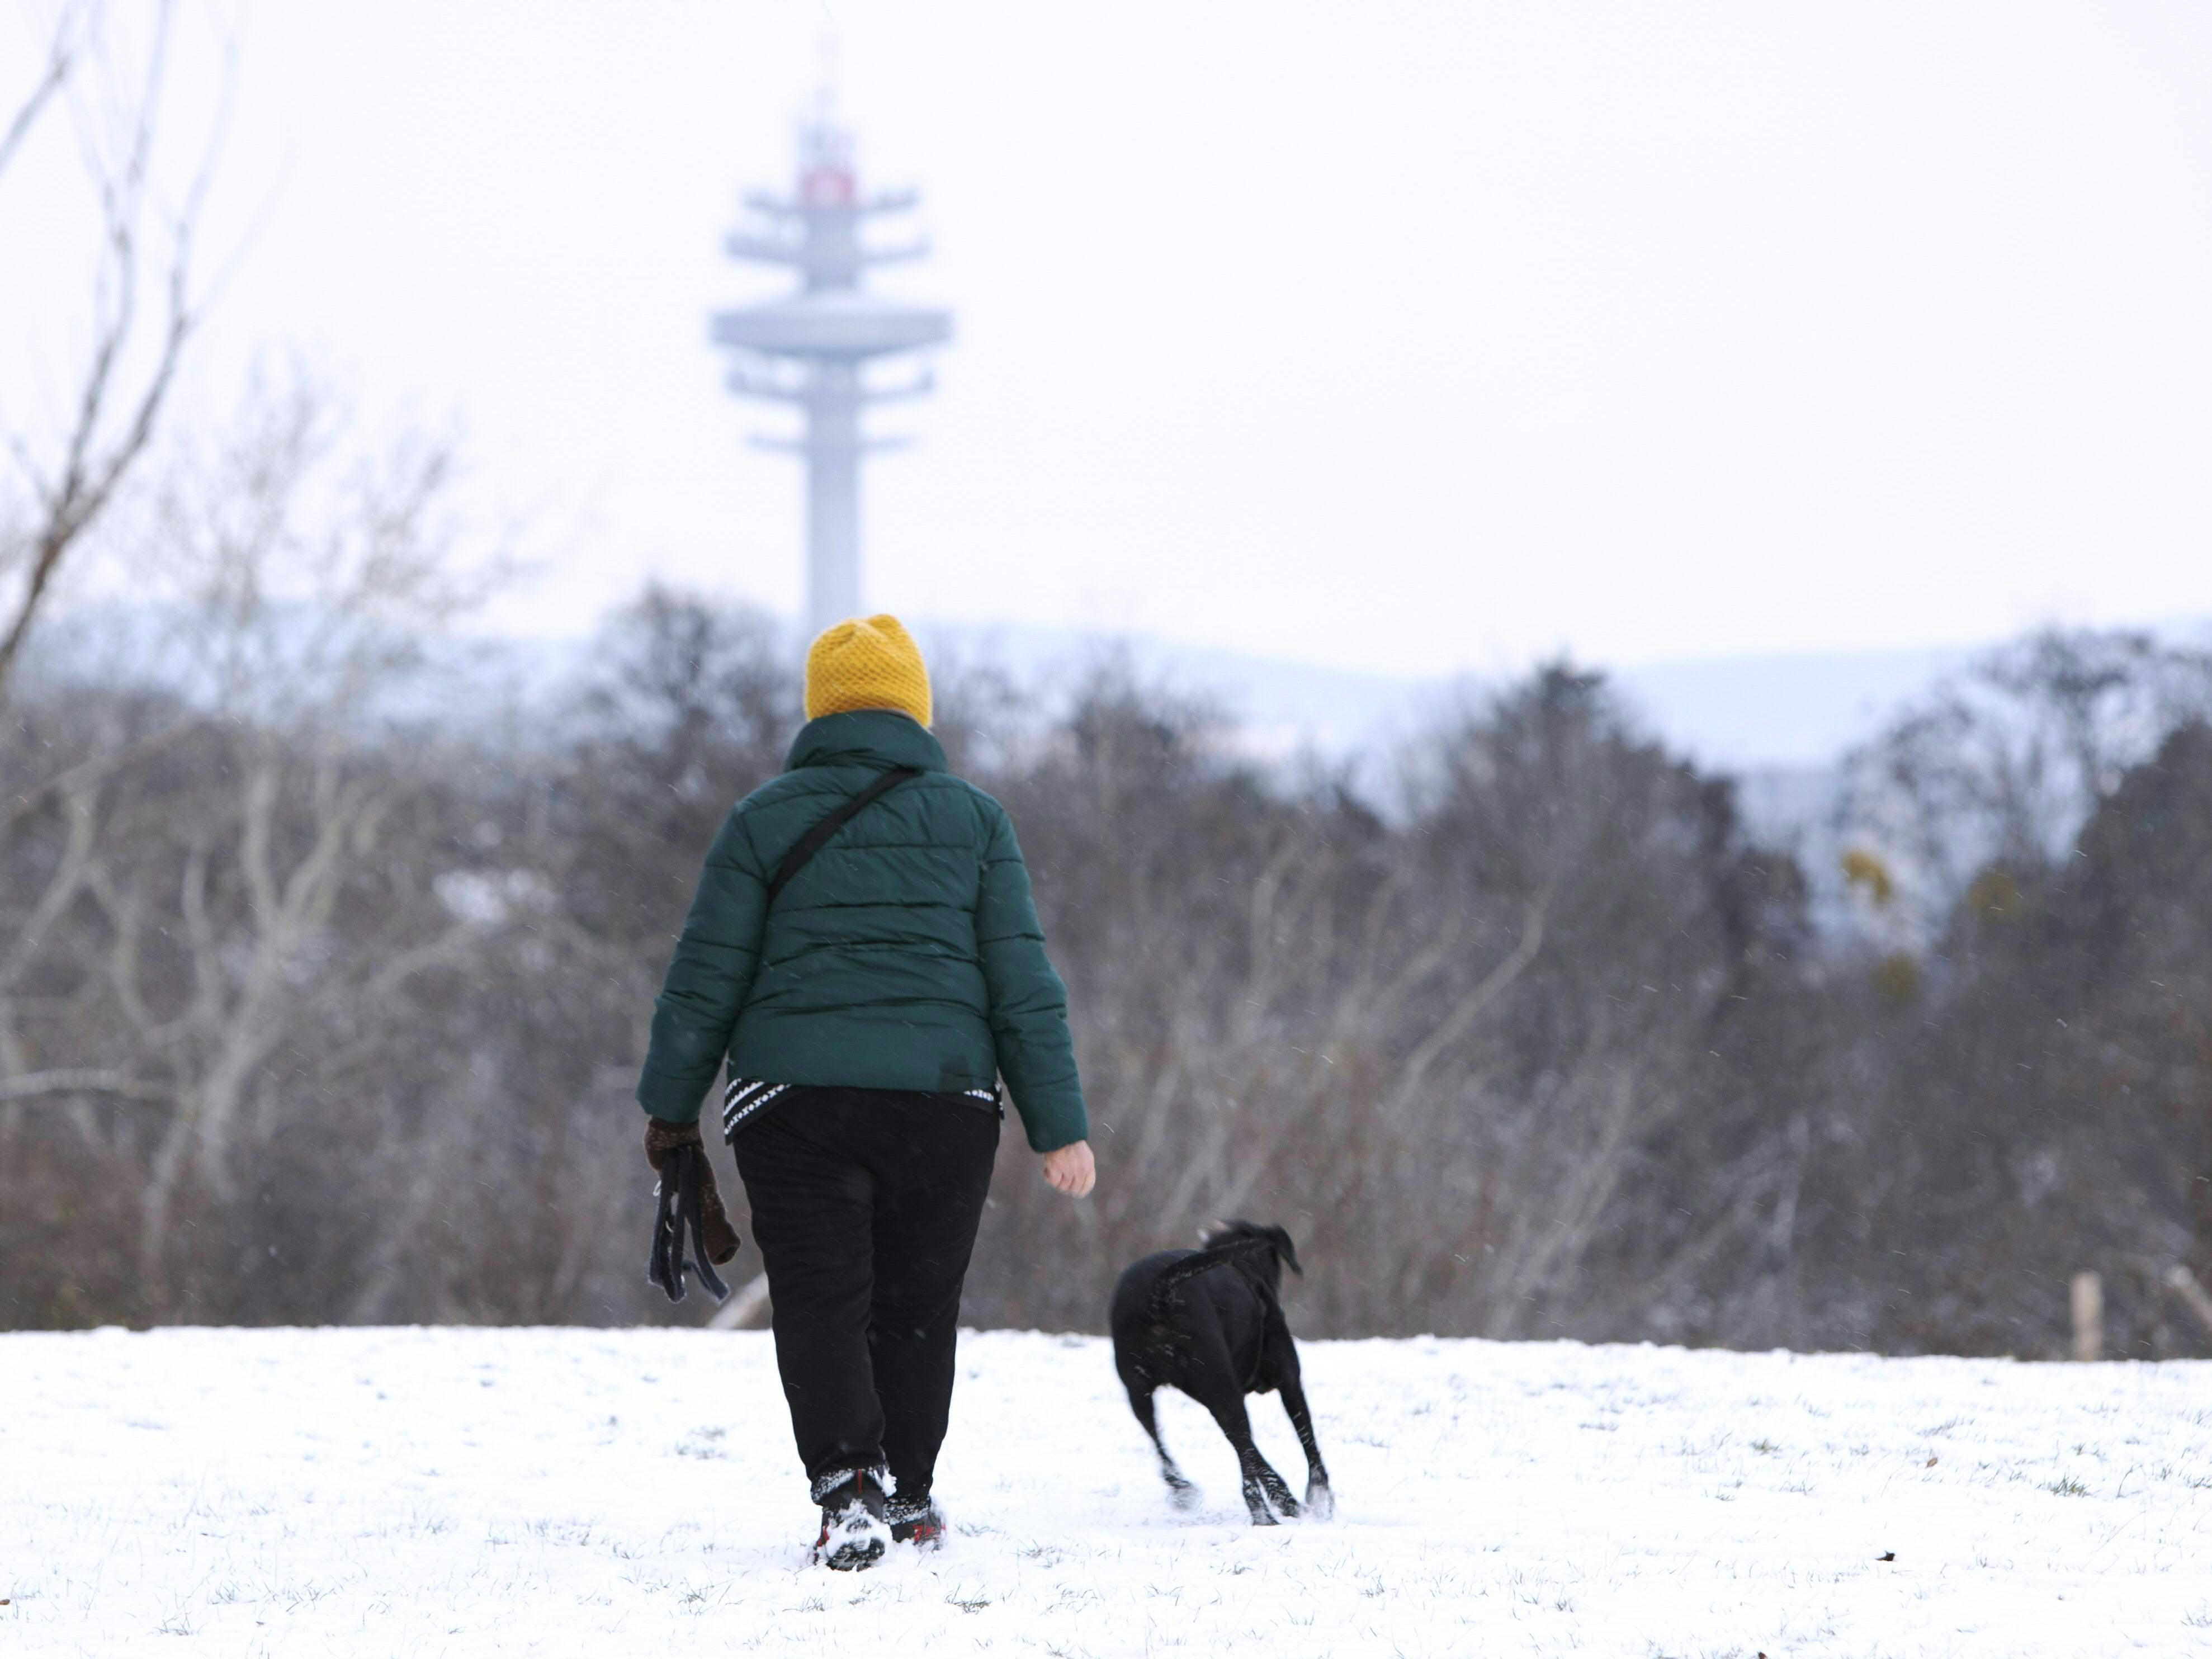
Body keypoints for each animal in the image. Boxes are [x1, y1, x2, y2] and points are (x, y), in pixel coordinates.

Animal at [1106, 1221, 1327, 1530]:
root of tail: (1158, 1295)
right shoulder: (1290, 1381)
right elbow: (1308, 1440)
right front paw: (1321, 1500)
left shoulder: (1212, 1397)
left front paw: (1288, 1498)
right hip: (1223, 1387)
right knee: (1245, 1457)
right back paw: (1264, 1516)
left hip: (1142, 1390)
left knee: (1165, 1441)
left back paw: (1185, 1490)